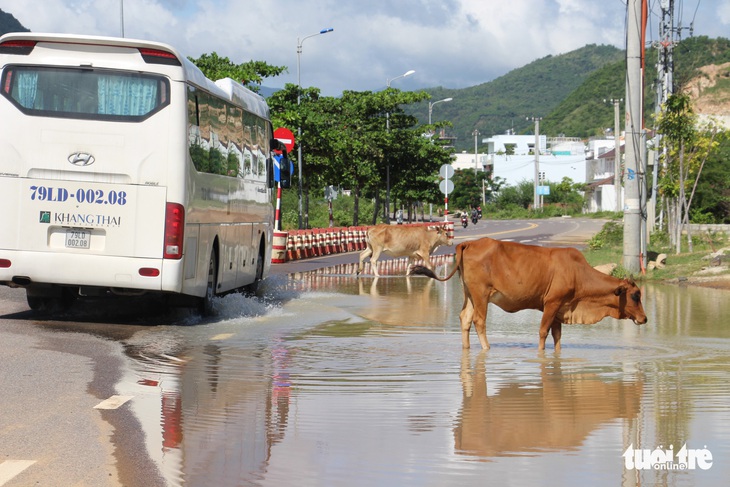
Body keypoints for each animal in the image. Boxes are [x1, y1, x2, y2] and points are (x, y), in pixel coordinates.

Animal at [410, 238, 648, 352]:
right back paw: (487, 348)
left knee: (465, 319)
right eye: (636, 295)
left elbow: (557, 336)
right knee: (479, 320)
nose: (645, 318)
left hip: (469, 294)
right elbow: (543, 333)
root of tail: (467, 243)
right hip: (481, 294)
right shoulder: (551, 303)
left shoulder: (560, 308)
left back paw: (466, 347)